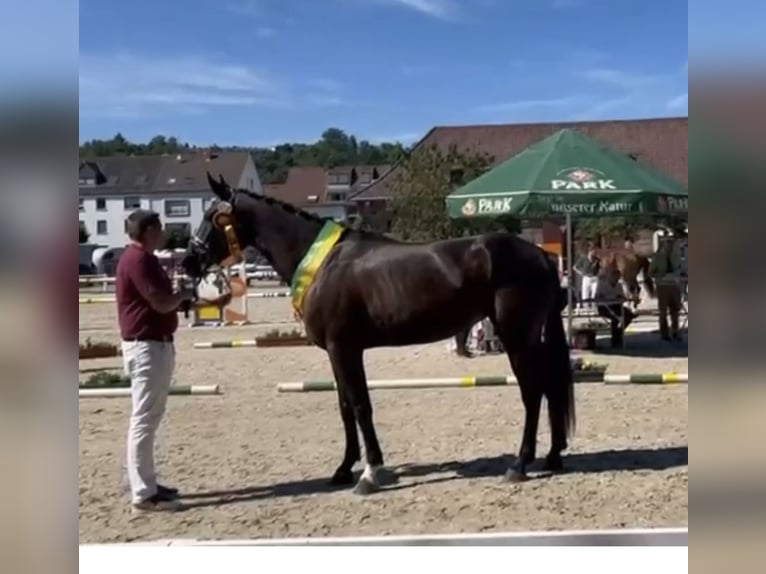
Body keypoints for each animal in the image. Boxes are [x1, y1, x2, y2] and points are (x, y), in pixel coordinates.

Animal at [182, 174, 576, 496]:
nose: (188, 262)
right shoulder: (335, 353)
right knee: (550, 387)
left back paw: (520, 464)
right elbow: (344, 407)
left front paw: (369, 473)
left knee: (533, 392)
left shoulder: (345, 348)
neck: (323, 264)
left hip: (517, 338)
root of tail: (540, 255)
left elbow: (361, 405)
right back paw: (553, 456)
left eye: (212, 217)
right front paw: (343, 469)